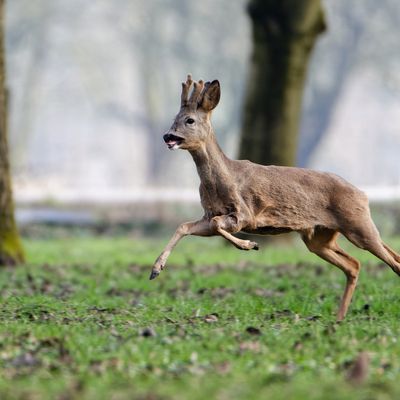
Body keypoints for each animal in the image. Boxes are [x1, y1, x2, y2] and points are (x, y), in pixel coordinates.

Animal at [150, 73, 400, 320]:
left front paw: (250, 245)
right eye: (175, 118)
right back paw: (339, 318)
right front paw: (156, 270)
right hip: (320, 237)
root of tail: (363, 194)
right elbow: (184, 226)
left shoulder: (245, 212)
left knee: (391, 260)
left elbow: (218, 224)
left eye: (189, 120)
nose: (167, 136)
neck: (223, 177)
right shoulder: (210, 213)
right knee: (354, 264)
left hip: (357, 223)